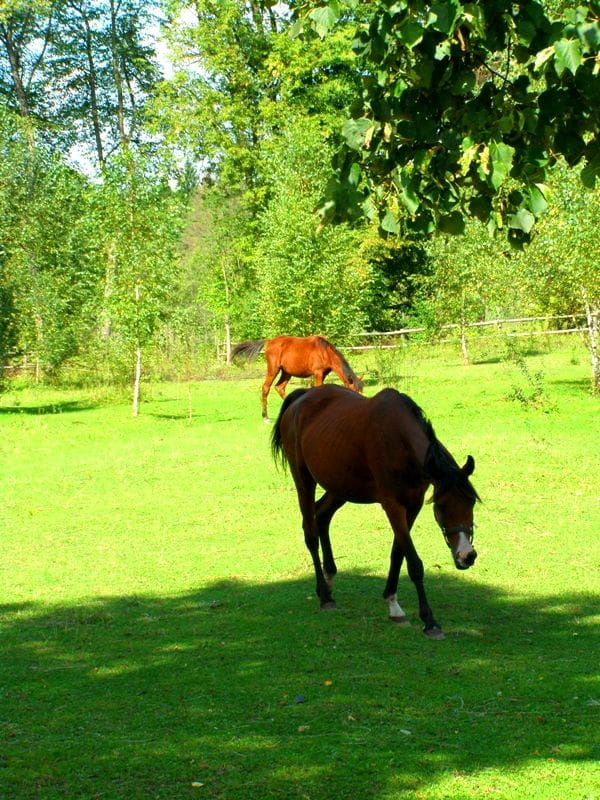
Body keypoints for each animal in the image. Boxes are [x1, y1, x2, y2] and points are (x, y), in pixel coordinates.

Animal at [231, 334, 364, 422]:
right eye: (353, 391)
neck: (325, 352)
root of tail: (269, 341)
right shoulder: (318, 373)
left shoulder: (323, 374)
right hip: (273, 369)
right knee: (266, 388)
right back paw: (265, 417)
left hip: (286, 372)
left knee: (280, 388)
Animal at [270, 384, 480, 640]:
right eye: (442, 506)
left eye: (471, 502)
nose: (466, 555)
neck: (398, 439)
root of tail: (301, 399)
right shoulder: (393, 506)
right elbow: (414, 562)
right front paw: (429, 621)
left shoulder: (413, 505)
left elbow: (398, 553)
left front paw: (393, 605)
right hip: (304, 480)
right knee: (310, 532)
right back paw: (325, 596)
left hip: (340, 487)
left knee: (322, 516)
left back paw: (328, 581)